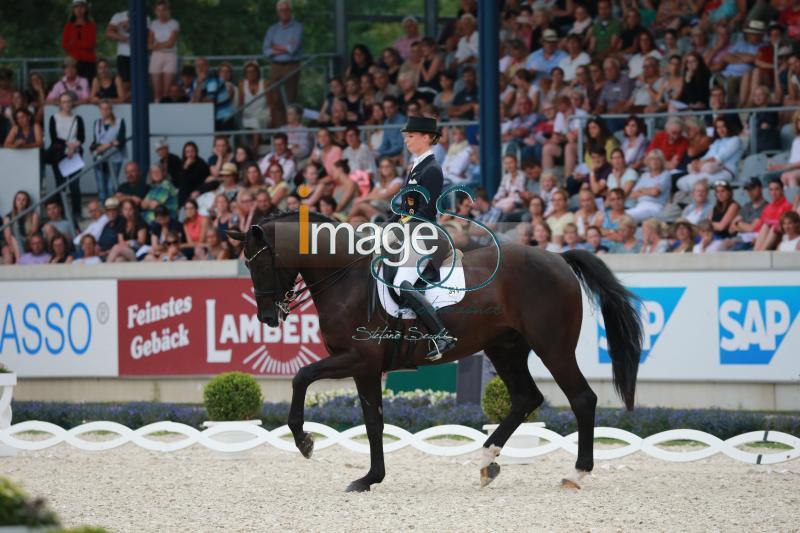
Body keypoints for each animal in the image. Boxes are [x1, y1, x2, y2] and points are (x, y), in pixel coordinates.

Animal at [227, 210, 644, 492]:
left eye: (260, 264)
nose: (268, 317)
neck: (347, 277)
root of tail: (557, 258)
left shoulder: (358, 359)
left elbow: (302, 377)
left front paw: (305, 442)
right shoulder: (366, 368)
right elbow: (373, 422)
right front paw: (370, 478)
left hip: (552, 346)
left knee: (582, 398)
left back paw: (576, 474)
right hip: (504, 348)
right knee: (526, 397)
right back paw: (487, 461)